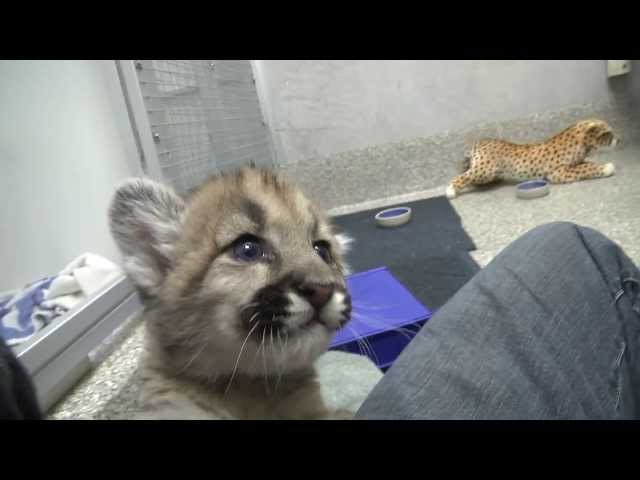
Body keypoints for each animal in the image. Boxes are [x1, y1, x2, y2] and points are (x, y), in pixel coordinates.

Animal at [444, 119, 620, 199]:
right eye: (608, 133)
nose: (619, 140)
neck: (582, 143)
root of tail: (481, 140)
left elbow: (585, 164)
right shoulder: (558, 173)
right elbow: (585, 168)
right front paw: (606, 168)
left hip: (486, 173)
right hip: (485, 171)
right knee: (461, 177)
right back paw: (451, 190)